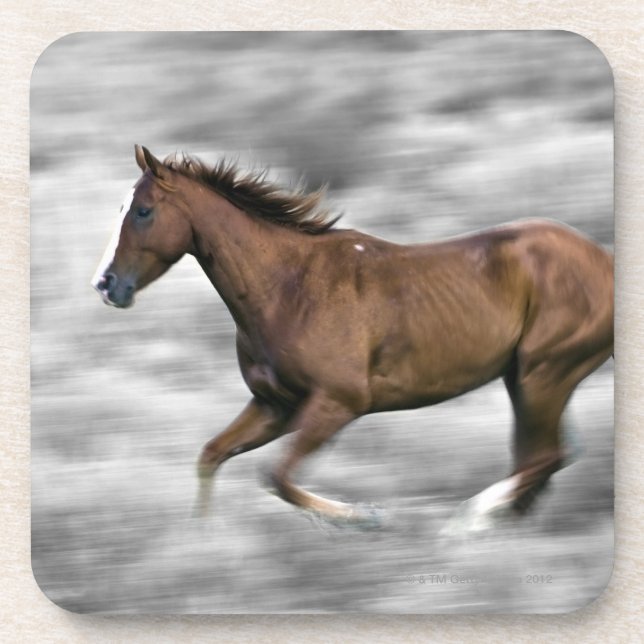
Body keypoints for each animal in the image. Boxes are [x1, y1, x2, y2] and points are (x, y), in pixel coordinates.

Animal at [92, 145, 614, 532]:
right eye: (120, 208)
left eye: (143, 211)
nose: (106, 284)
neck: (289, 287)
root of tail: (604, 261)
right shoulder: (276, 406)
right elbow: (211, 456)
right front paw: (202, 539)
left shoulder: (337, 404)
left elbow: (277, 477)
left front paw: (367, 517)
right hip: (525, 378)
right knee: (542, 460)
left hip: (543, 374)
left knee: (545, 457)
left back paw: (467, 522)